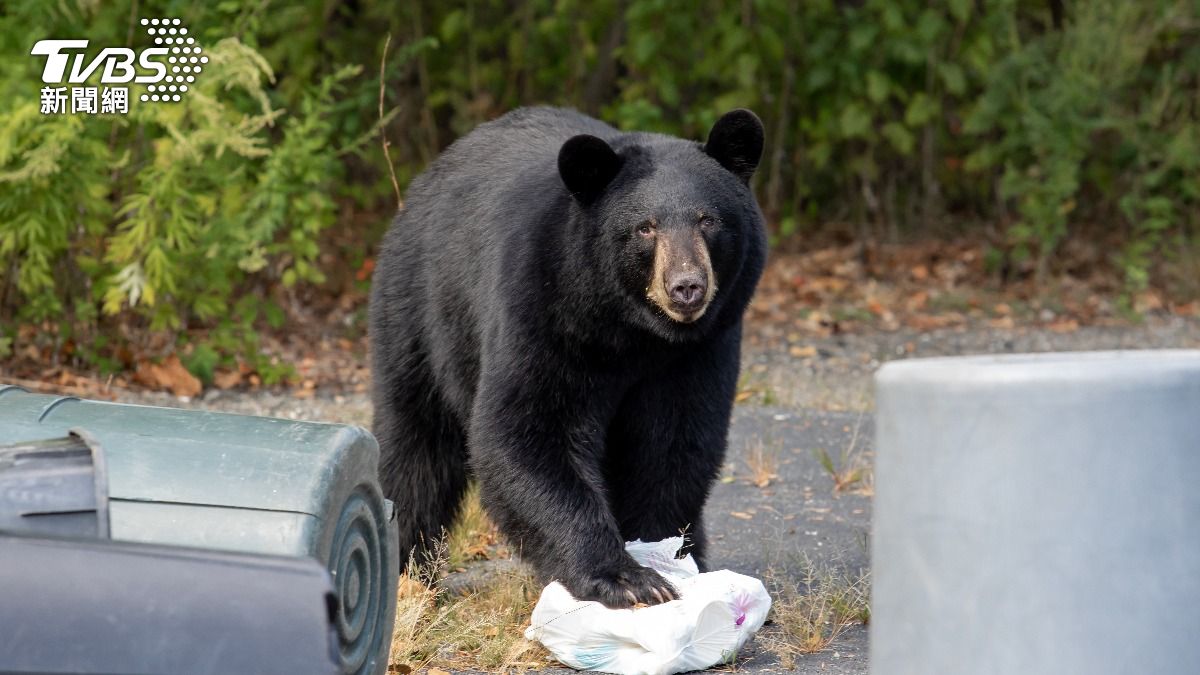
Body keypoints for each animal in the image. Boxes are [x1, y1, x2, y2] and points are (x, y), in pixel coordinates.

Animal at [369, 106, 767, 608]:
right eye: (645, 227)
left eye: (708, 220)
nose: (686, 287)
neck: (633, 331)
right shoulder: (544, 310)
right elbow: (527, 431)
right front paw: (628, 579)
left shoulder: (700, 349)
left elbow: (674, 442)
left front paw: (663, 554)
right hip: (422, 313)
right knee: (415, 446)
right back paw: (409, 571)